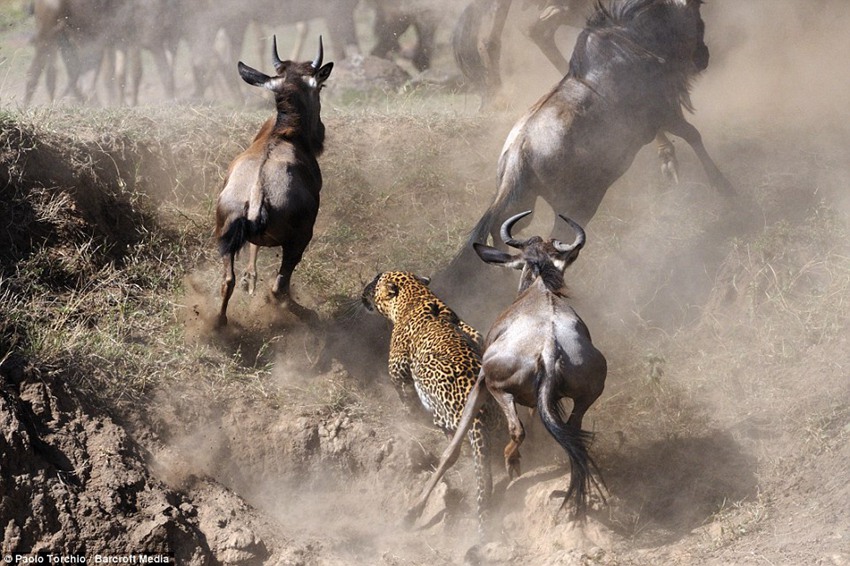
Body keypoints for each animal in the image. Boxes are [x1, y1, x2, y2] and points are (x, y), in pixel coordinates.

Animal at [212, 36, 332, 328]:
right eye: (320, 86)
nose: (321, 131)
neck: (283, 134)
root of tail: (257, 195)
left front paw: (249, 278)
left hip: (223, 235)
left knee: (227, 281)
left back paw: (219, 322)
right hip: (298, 240)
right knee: (278, 288)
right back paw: (306, 313)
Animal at [362, 272, 494, 540]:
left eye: (376, 281)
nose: (361, 293)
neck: (418, 297)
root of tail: (477, 414)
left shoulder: (397, 370)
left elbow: (406, 398)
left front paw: (408, 417)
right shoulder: (474, 333)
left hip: (434, 396)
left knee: (452, 447)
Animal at [410, 214, 604, 528]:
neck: (540, 287)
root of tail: (549, 348)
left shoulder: (479, 381)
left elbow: (453, 448)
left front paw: (415, 508)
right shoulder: (541, 402)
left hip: (496, 387)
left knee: (516, 429)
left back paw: (511, 463)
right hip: (587, 396)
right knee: (574, 440)